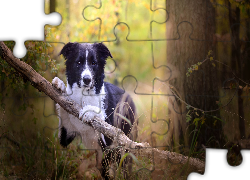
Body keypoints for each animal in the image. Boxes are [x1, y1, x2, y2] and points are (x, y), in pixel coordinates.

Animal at [51, 42, 136, 179]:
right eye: (78, 62)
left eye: (94, 63)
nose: (87, 79)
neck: (84, 96)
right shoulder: (65, 136)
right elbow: (66, 108)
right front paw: (60, 86)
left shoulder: (110, 140)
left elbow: (100, 116)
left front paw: (89, 111)